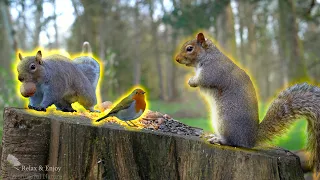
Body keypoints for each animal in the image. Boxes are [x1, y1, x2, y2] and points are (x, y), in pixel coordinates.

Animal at [175, 33, 320, 172]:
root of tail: (251, 139)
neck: (208, 55)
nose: (176, 59)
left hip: (225, 121)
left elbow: (203, 80)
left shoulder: (212, 71)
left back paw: (219, 140)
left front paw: (191, 81)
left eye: (189, 48)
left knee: (233, 142)